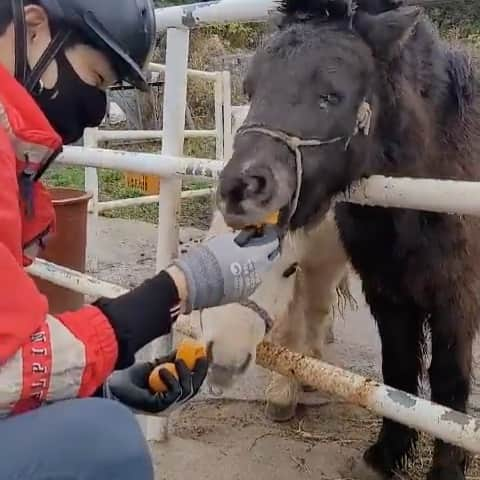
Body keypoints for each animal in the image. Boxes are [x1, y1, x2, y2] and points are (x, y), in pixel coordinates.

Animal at [217, 1, 480, 478]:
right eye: (251, 88)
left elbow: (449, 385)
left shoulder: (457, 298)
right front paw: (387, 454)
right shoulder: (387, 294)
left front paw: (447, 468)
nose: (238, 190)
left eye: (331, 95)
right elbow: (398, 371)